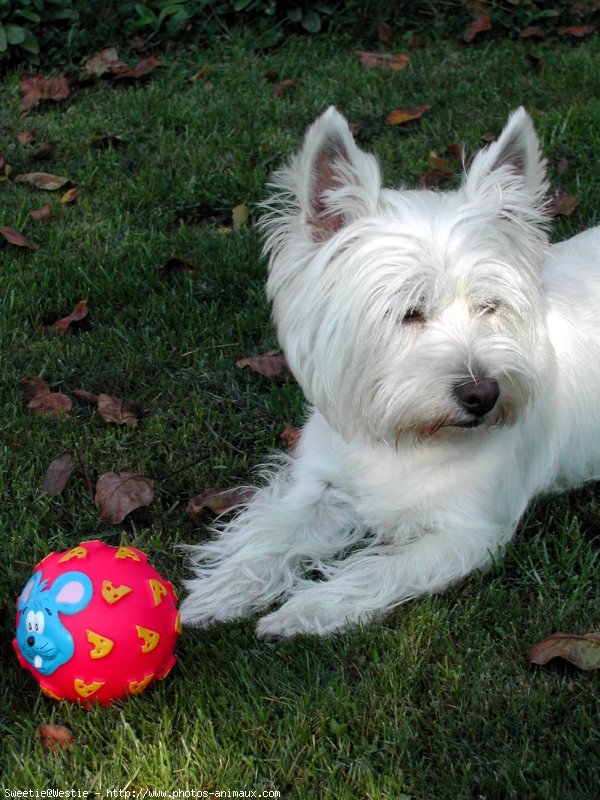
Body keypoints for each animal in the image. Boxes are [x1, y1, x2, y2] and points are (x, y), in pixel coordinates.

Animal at [179, 109, 600, 640]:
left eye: (490, 306)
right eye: (408, 312)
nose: (483, 394)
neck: (403, 434)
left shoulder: (468, 533)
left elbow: (378, 569)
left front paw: (301, 611)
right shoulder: (322, 484)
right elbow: (272, 530)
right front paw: (220, 593)